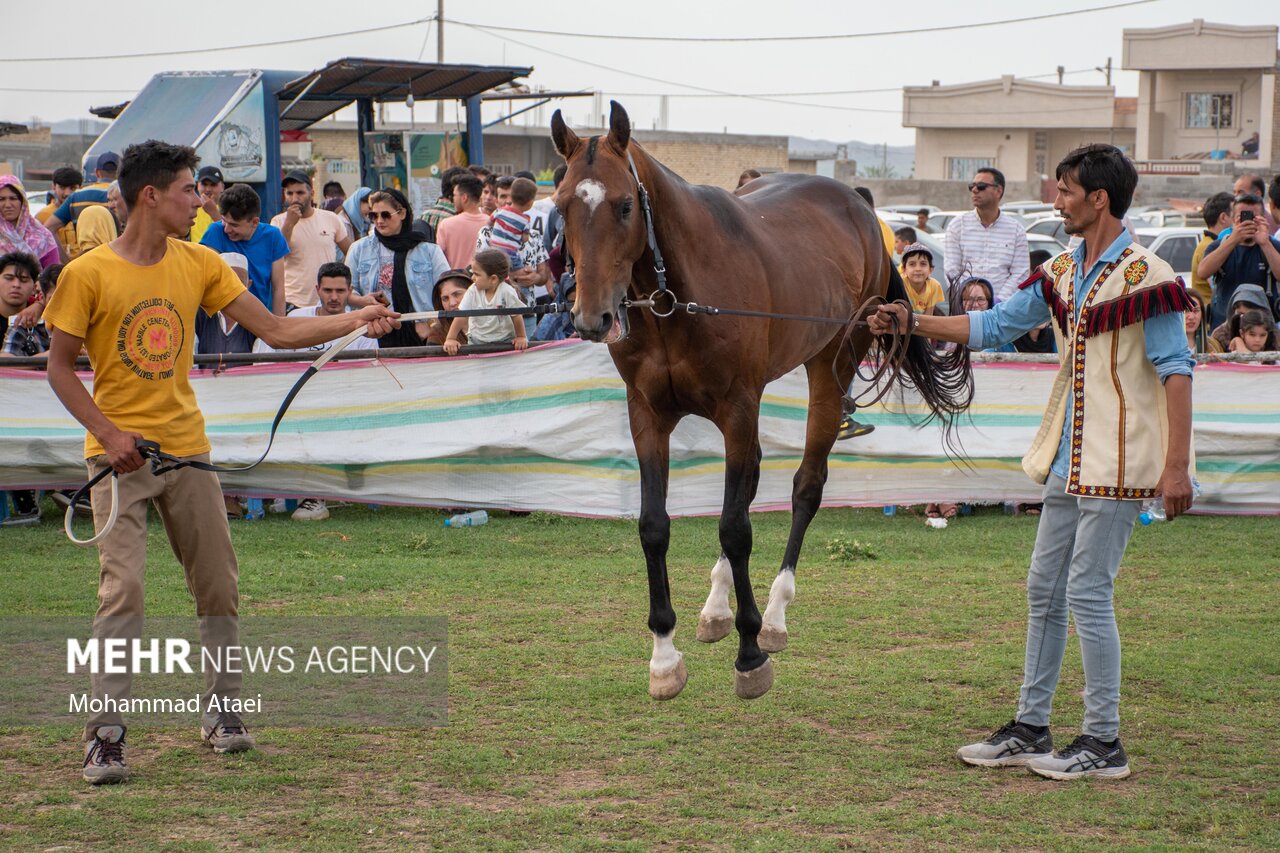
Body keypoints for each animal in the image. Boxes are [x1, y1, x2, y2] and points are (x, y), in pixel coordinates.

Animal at [550, 101, 967, 696]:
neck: (675, 300)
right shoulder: (647, 415)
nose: (591, 318)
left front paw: (750, 654)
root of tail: (859, 208)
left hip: (832, 366)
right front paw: (664, 656)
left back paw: (772, 616)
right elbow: (656, 526)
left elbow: (735, 526)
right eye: (561, 206)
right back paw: (717, 607)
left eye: (625, 205)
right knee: (748, 484)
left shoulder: (736, 410)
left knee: (805, 488)